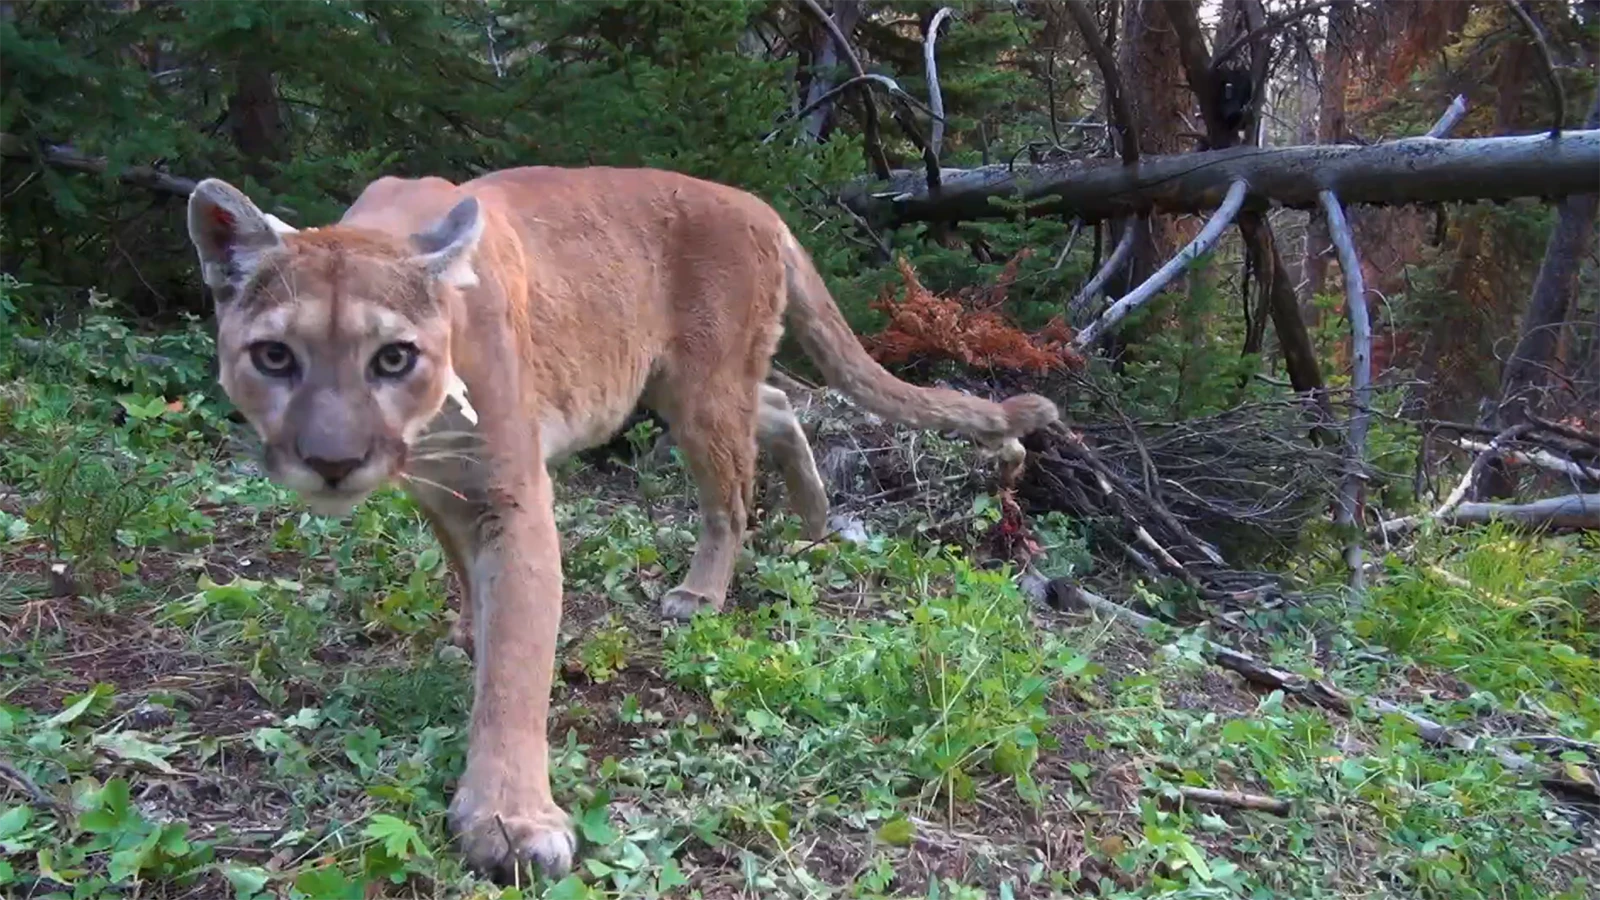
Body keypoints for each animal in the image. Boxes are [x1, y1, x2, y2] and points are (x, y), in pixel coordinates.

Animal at [184, 166, 1058, 880]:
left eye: (392, 357)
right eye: (274, 356)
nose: (332, 461)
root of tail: (759, 205)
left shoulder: (514, 496)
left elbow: (517, 663)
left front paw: (510, 820)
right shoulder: (440, 491)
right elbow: (467, 578)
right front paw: (468, 630)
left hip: (698, 388)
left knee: (732, 491)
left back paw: (704, 591)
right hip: (697, 384)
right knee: (780, 405)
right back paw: (813, 520)